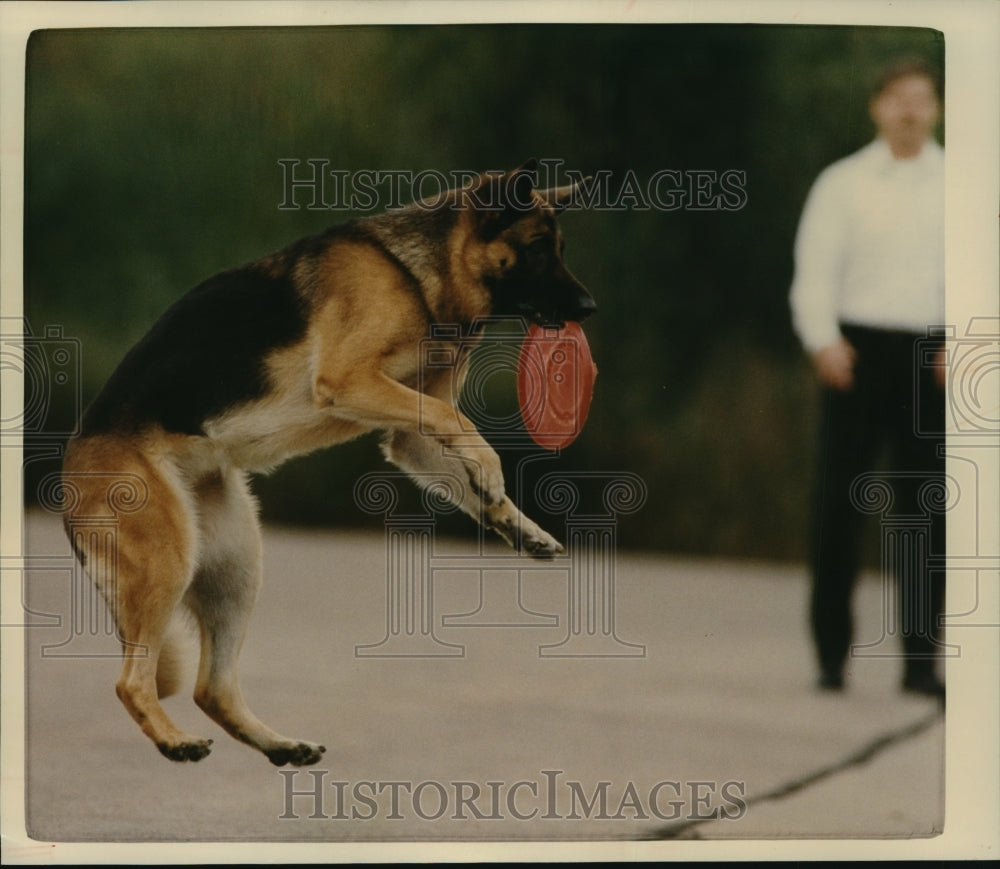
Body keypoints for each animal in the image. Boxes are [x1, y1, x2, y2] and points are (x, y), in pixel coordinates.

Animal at [64, 159, 592, 764]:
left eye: (558, 248)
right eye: (537, 249)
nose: (590, 310)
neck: (418, 274)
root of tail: (68, 471)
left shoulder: (407, 436)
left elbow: (454, 439)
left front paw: (515, 522)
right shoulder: (351, 382)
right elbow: (460, 423)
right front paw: (490, 474)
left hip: (237, 565)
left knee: (212, 688)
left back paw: (280, 745)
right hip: (169, 562)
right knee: (132, 681)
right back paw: (176, 741)